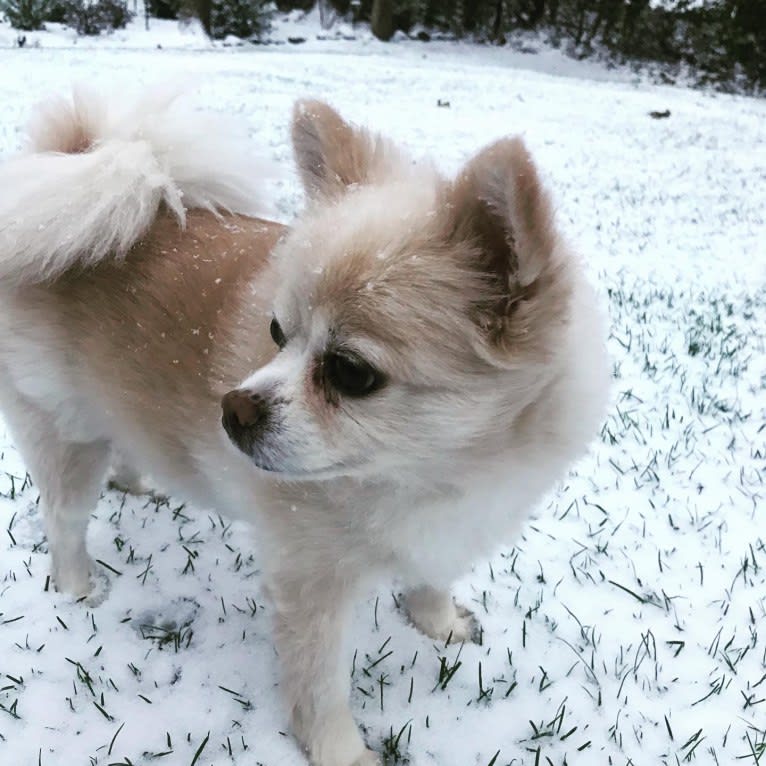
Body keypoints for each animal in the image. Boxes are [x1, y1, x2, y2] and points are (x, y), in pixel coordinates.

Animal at [0, 88, 612, 766]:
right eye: (277, 332)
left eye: (350, 371)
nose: (231, 410)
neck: (431, 472)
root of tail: (73, 162)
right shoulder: (311, 583)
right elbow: (319, 683)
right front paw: (342, 752)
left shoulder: (447, 530)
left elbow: (431, 578)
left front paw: (437, 623)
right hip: (65, 431)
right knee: (64, 518)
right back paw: (77, 587)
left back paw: (136, 481)